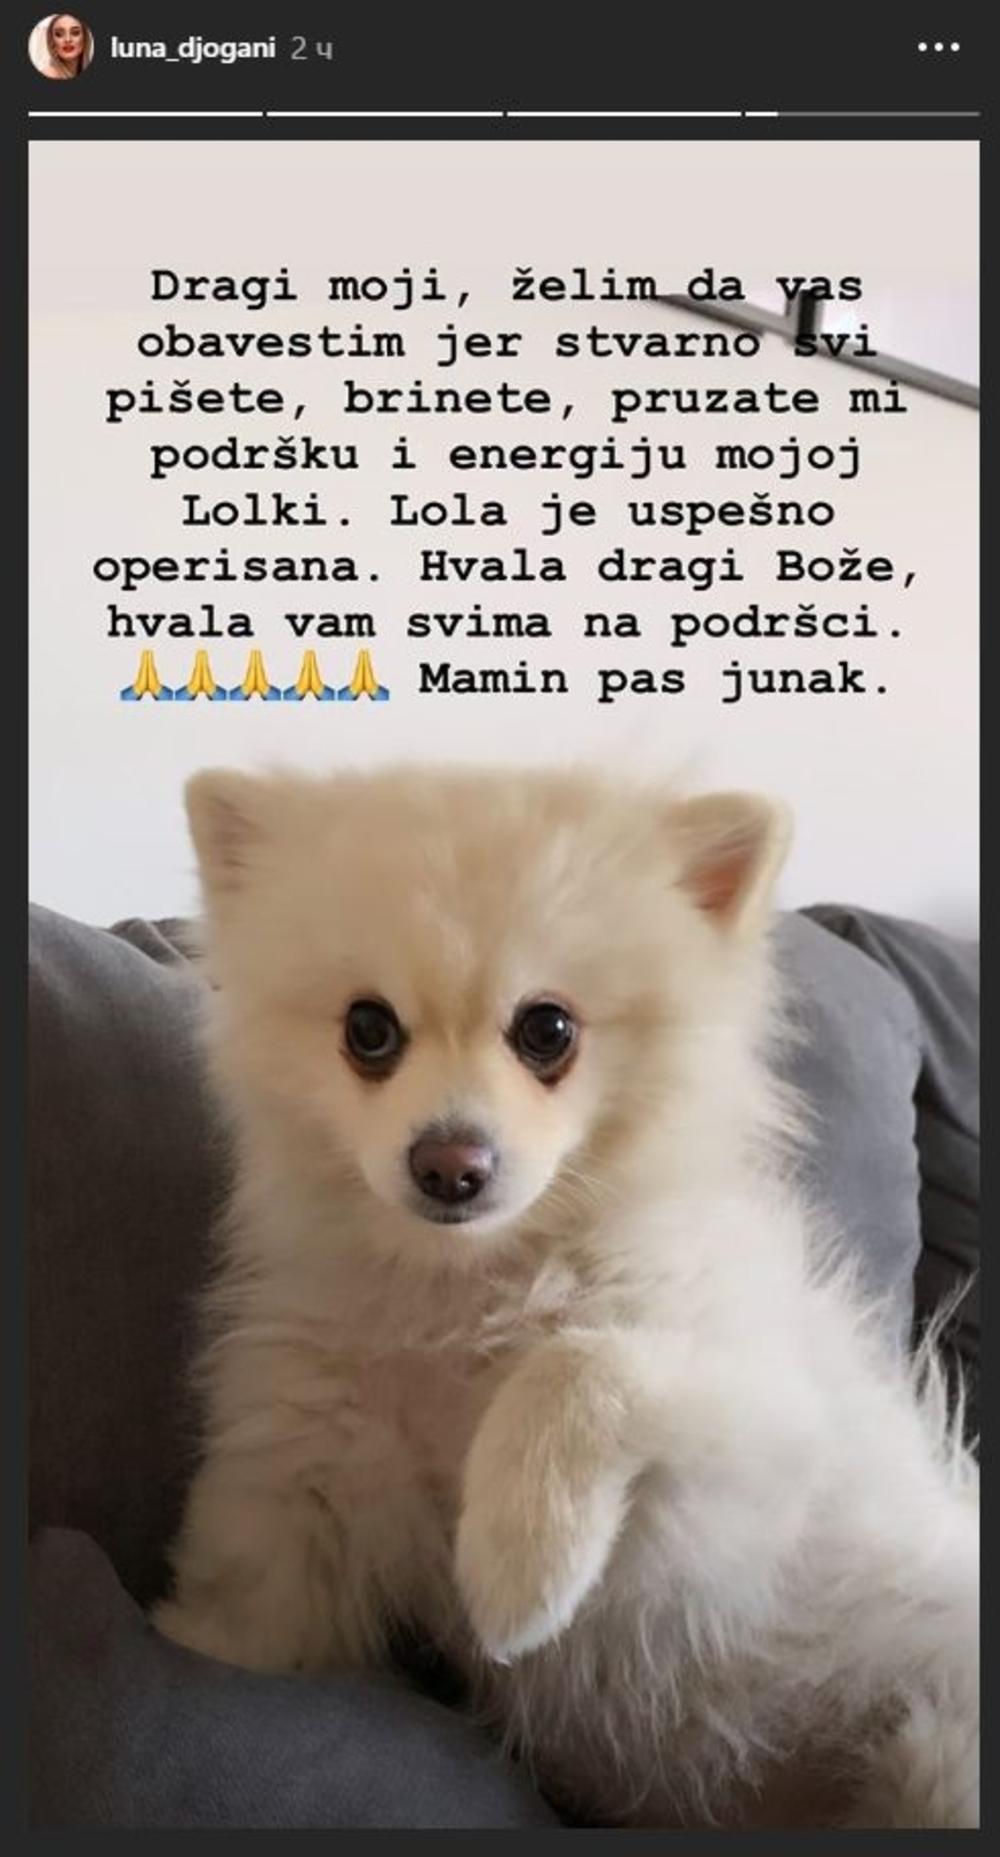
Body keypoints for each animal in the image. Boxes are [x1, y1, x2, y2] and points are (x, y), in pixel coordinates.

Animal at [154, 764, 979, 1828]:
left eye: (546, 1030)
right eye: (367, 1030)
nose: (449, 1164)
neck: (470, 1290)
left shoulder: (749, 1471)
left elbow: (583, 1358)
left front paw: (518, 1567)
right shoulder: (304, 1483)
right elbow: (244, 1618)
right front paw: (188, 1639)